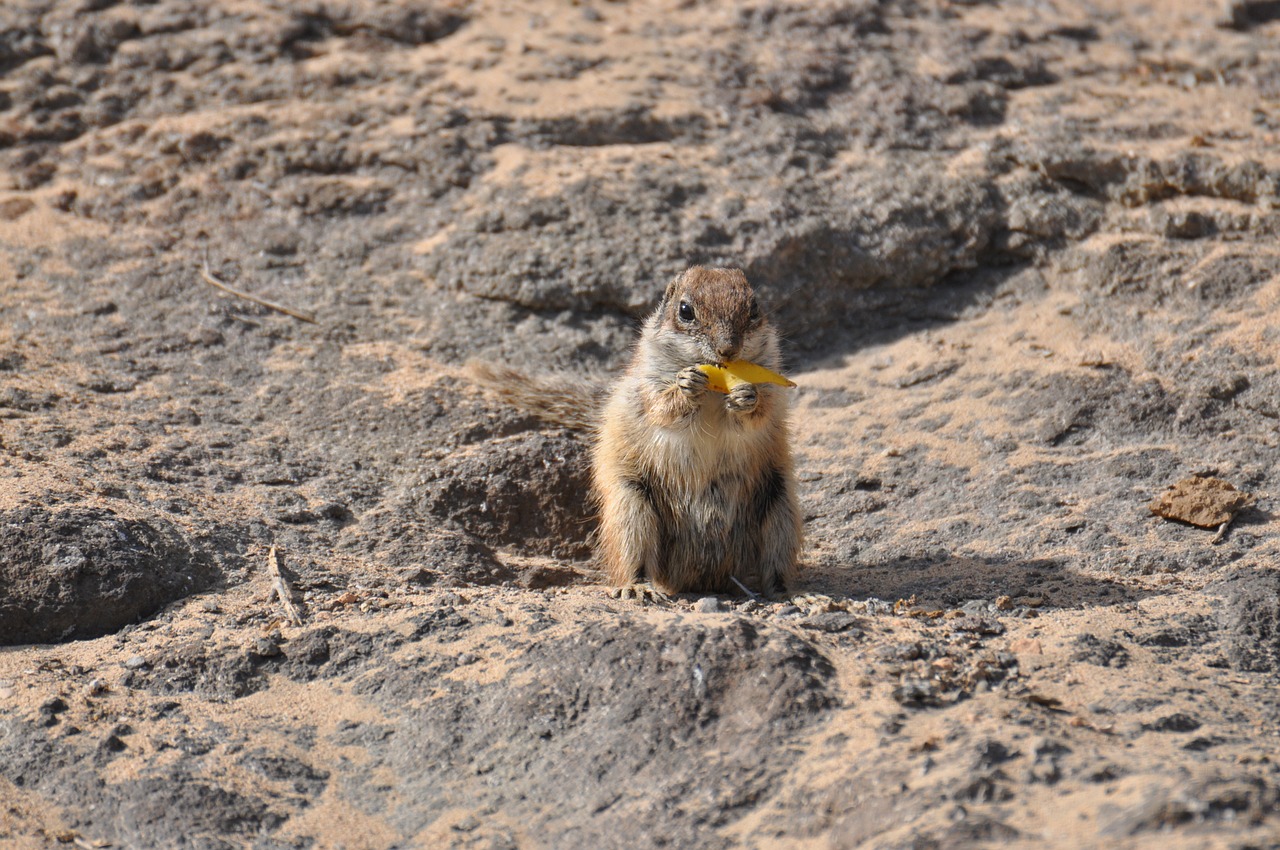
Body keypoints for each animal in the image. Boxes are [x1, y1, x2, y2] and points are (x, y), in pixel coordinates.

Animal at [471, 266, 798, 596]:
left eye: (754, 308)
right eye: (685, 311)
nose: (728, 350)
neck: (715, 391)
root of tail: (703, 580)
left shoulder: (771, 379)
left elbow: (761, 411)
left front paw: (746, 397)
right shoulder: (648, 383)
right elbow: (663, 407)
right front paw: (687, 386)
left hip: (781, 509)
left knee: (775, 562)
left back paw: (783, 590)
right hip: (631, 509)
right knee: (634, 560)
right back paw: (639, 587)